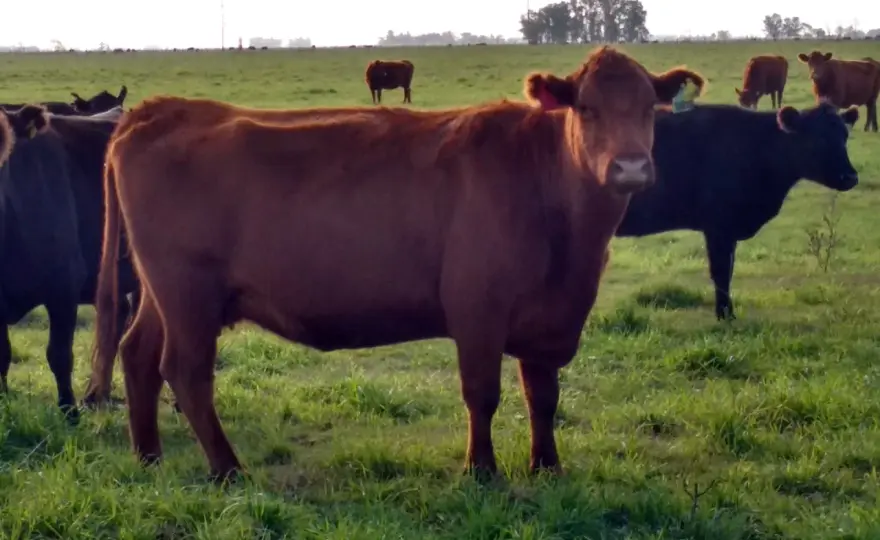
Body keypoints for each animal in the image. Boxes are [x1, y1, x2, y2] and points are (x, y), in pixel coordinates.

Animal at [90, 46, 704, 481]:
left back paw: (149, 457)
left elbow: (543, 396)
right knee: (187, 372)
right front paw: (481, 472)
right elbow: (482, 393)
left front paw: (546, 467)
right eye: (588, 109)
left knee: (138, 355)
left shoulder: (547, 316)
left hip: (163, 293)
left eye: (649, 109)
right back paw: (228, 469)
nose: (630, 167)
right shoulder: (477, 308)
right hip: (189, 294)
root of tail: (157, 111)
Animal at [615, 102, 860, 320]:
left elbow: (729, 270)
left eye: (845, 136)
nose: (850, 177)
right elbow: (721, 270)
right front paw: (725, 314)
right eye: (818, 139)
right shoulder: (718, 227)